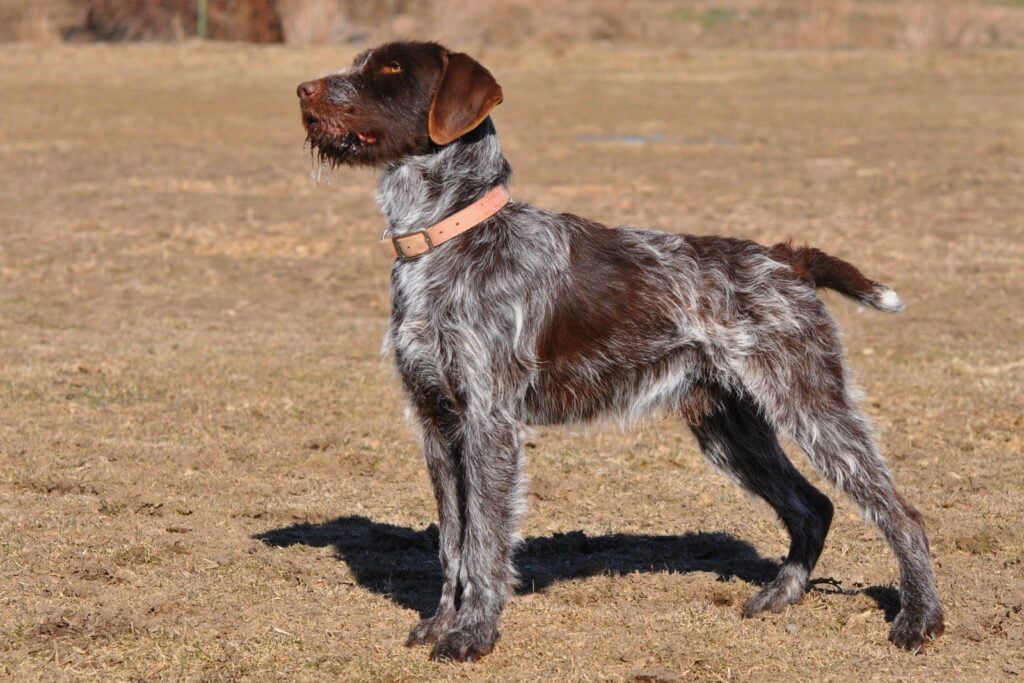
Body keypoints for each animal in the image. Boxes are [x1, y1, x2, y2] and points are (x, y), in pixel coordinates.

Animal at [294, 40, 942, 659]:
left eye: (391, 71)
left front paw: (472, 634)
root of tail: (786, 257)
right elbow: (453, 542)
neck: (445, 236)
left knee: (901, 514)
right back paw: (781, 596)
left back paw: (920, 620)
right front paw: (440, 623)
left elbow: (482, 541)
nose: (302, 88)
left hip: (810, 406)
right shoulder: (436, 422)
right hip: (731, 431)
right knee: (813, 507)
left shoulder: (488, 423)